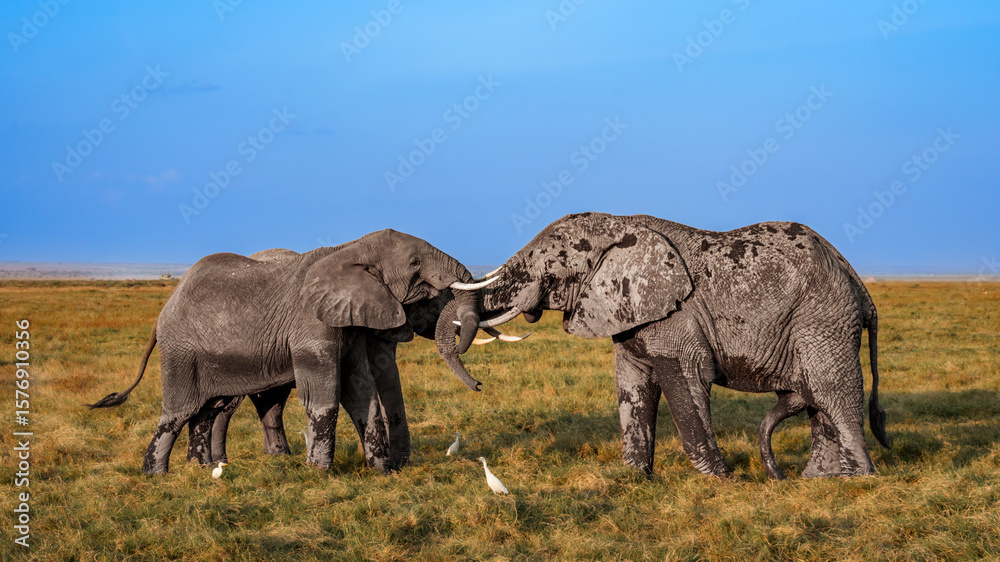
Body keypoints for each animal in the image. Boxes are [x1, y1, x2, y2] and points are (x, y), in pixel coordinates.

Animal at [89, 229, 491, 475]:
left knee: (209, 410)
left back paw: (200, 469)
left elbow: (361, 391)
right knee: (178, 412)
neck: (351, 247)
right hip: (182, 352)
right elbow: (324, 398)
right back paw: (156, 475)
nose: (480, 386)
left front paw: (380, 471)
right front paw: (319, 472)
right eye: (414, 264)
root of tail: (162, 314)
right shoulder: (311, 326)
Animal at [450, 212, 890, 479]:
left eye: (551, 265)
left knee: (830, 391)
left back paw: (856, 480)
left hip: (823, 319)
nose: (478, 385)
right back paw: (818, 479)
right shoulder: (630, 313)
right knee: (817, 400)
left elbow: (684, 377)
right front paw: (634, 479)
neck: (621, 224)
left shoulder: (676, 316)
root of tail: (855, 278)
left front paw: (722, 481)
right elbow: (633, 387)